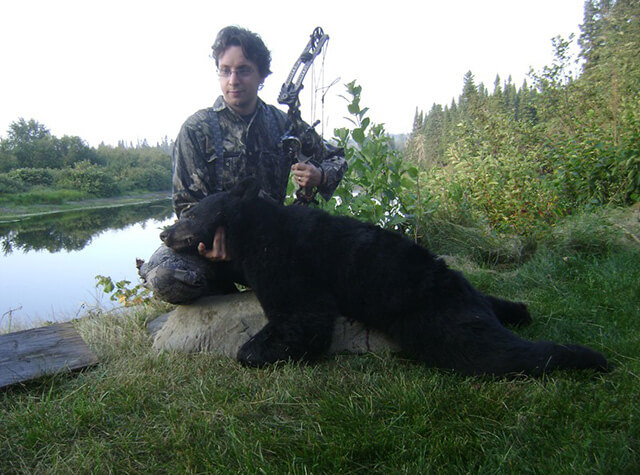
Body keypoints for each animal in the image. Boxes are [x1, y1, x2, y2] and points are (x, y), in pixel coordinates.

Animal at [161, 177, 608, 378]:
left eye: (191, 213)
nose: (165, 233)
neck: (251, 227)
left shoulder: (283, 260)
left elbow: (304, 317)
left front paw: (254, 351)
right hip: (466, 296)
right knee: (496, 306)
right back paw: (519, 310)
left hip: (433, 316)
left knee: (491, 351)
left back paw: (584, 356)